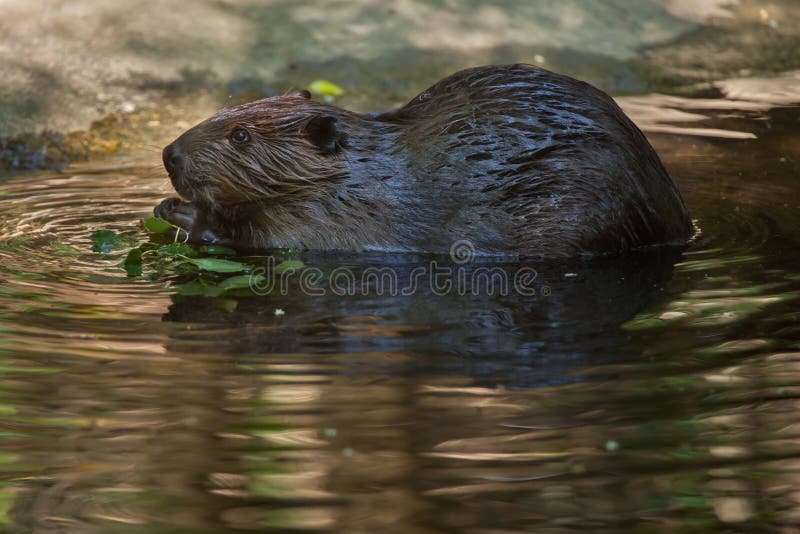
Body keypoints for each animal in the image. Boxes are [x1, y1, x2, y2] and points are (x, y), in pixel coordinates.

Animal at [156, 64, 692, 258]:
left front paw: (182, 214)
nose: (168, 154)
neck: (362, 172)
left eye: (241, 135)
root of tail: (680, 220)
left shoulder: (334, 218)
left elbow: (264, 240)